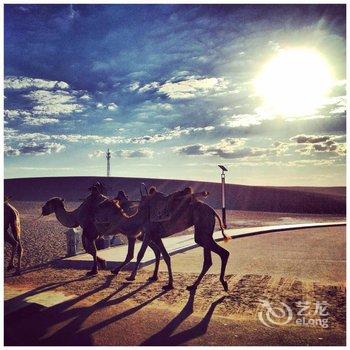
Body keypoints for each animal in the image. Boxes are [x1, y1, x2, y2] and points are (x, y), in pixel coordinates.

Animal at [91, 185, 231, 292]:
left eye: (105, 204)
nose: (96, 207)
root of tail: (213, 210)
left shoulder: (148, 232)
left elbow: (141, 254)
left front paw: (131, 276)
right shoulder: (156, 235)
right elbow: (166, 256)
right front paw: (168, 283)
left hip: (202, 227)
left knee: (219, 253)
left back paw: (220, 283)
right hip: (205, 231)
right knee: (211, 258)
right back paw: (196, 285)